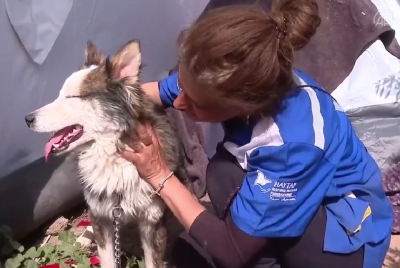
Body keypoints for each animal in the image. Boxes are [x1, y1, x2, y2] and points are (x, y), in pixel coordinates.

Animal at [25, 39, 191, 268]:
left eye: (72, 97)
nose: (27, 119)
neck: (113, 156)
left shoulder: (152, 221)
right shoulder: (103, 216)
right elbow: (106, 256)